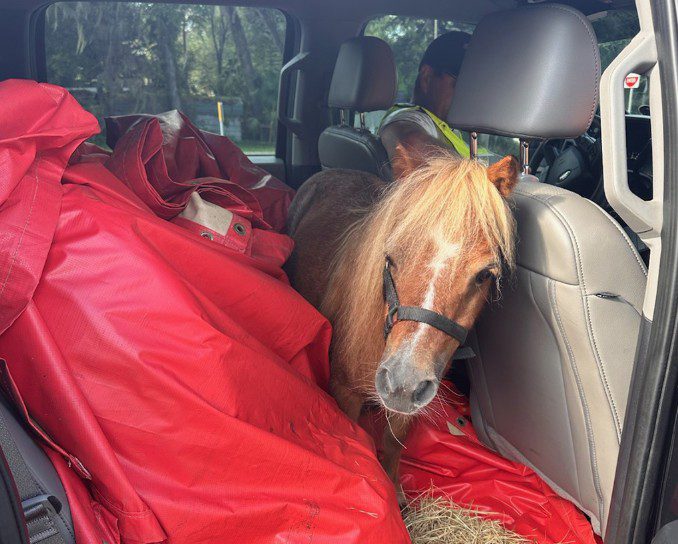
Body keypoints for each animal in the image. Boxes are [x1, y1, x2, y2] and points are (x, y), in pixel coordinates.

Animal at [286, 144, 518, 490]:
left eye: (484, 275)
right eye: (391, 257)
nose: (402, 381)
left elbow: (394, 441)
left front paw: (394, 488)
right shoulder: (344, 392)